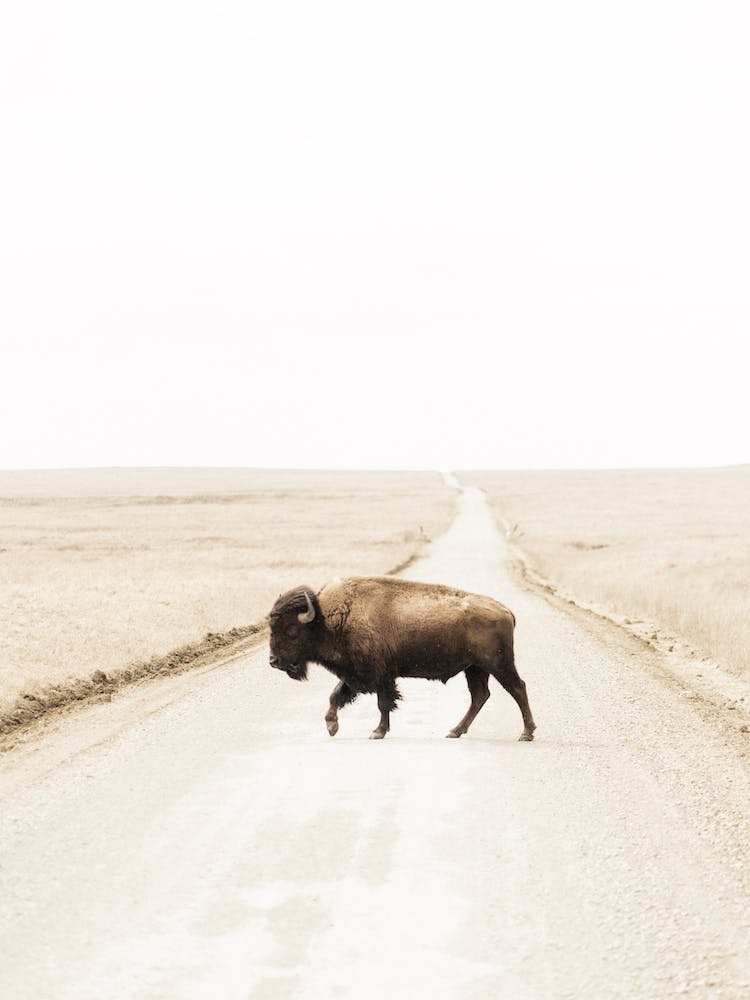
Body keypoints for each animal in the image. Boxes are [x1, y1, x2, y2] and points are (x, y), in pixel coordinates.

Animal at [269, 576, 536, 741]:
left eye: (291, 630)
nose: (273, 661)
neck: (328, 618)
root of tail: (506, 611)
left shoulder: (379, 675)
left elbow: (383, 703)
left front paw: (377, 732)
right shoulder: (355, 673)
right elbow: (336, 695)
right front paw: (332, 726)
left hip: (498, 665)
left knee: (517, 688)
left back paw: (526, 733)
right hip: (475, 668)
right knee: (480, 696)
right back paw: (454, 731)